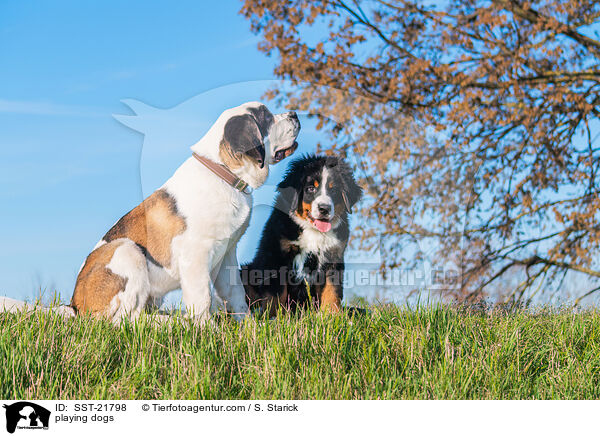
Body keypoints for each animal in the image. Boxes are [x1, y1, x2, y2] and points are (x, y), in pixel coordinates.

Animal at [71, 100, 300, 322]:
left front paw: (249, 325)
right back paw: (169, 322)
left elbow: (235, 293)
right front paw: (206, 328)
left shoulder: (227, 253)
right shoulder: (196, 254)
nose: (294, 114)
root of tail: (74, 305)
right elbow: (202, 297)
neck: (223, 171)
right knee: (126, 319)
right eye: (266, 116)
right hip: (127, 249)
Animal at [240, 153, 360, 314]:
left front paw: (333, 315)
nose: (324, 208)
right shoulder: (276, 255)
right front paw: (274, 316)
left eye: (333, 190)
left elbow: (332, 291)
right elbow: (275, 294)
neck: (313, 231)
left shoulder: (333, 256)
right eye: (310, 189)